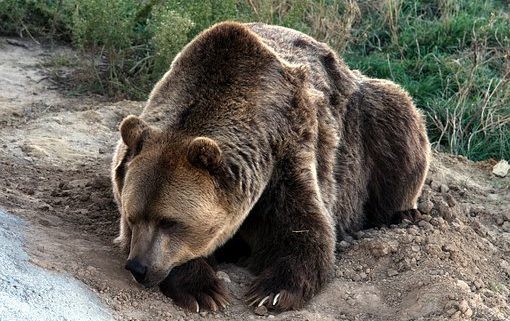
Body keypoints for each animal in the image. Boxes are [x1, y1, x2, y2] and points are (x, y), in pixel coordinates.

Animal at [110, 21, 430, 312]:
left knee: (398, 116)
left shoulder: (287, 154)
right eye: (132, 216)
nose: (138, 267)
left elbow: (304, 230)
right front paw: (203, 290)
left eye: (170, 221)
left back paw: (405, 214)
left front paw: (271, 292)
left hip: (367, 120)